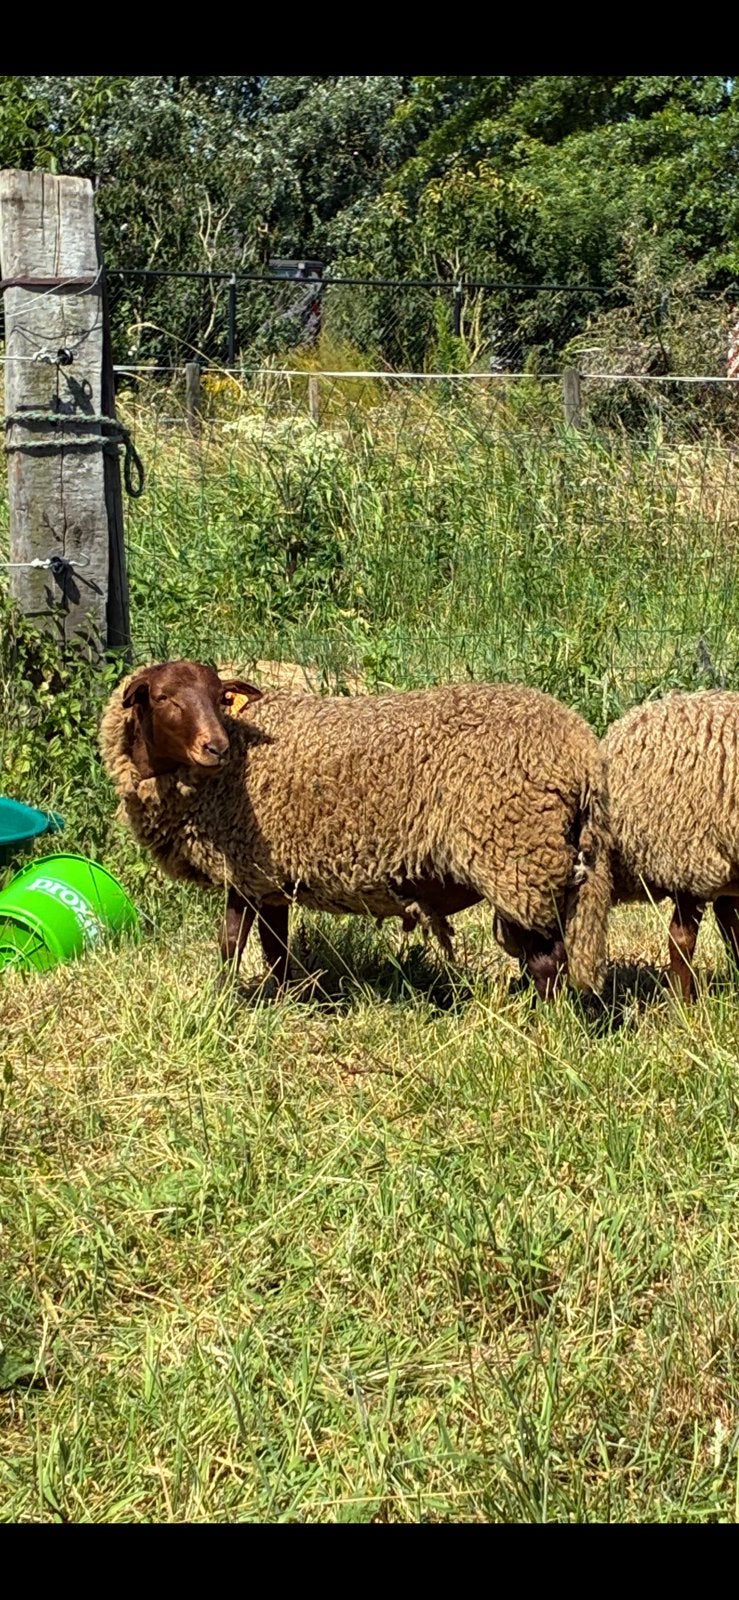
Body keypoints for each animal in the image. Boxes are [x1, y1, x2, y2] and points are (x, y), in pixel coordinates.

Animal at [99, 659, 612, 1001]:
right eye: (162, 697)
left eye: (219, 696)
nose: (216, 747)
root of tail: (582, 750)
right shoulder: (268, 879)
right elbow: (273, 947)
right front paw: (280, 999)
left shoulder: (244, 868)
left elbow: (232, 943)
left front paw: (225, 1003)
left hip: (518, 856)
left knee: (548, 957)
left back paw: (543, 1023)